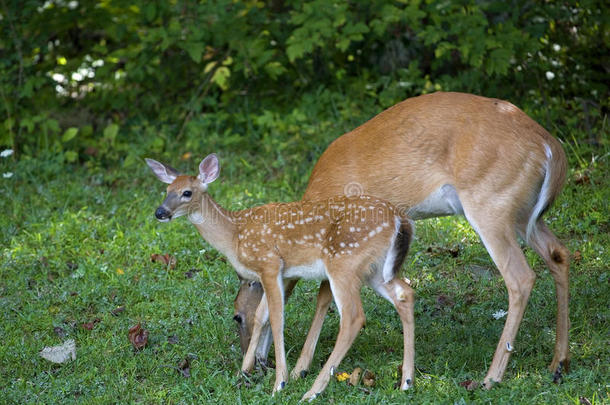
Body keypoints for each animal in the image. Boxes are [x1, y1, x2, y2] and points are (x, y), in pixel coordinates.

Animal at [145, 155, 416, 400]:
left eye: (187, 192)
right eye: (167, 190)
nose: (160, 212)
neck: (234, 235)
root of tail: (399, 218)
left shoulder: (269, 263)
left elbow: (275, 318)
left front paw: (279, 383)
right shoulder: (275, 274)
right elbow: (261, 315)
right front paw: (243, 371)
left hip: (344, 262)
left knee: (353, 317)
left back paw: (312, 391)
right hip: (374, 269)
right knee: (405, 293)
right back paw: (406, 381)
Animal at [234, 91, 568, 388]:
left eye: (236, 317)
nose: (258, 364)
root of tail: (550, 147)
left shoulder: (339, 242)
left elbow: (307, 299)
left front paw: (286, 369)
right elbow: (321, 295)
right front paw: (298, 368)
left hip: (491, 204)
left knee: (520, 277)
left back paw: (491, 377)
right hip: (524, 214)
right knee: (558, 253)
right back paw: (558, 363)